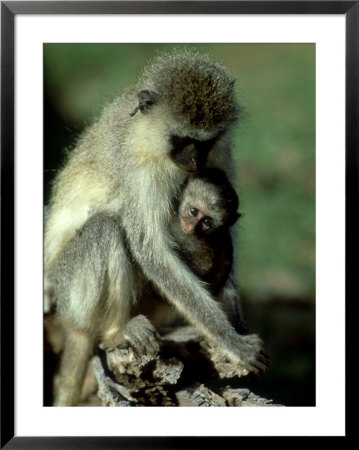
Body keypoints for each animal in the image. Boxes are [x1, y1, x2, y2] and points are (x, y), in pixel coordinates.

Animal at [45, 51, 268, 406]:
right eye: (183, 139)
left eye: (206, 141)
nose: (195, 162)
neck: (148, 134)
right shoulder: (139, 168)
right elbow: (150, 248)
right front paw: (230, 341)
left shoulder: (219, 155)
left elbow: (227, 232)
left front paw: (236, 324)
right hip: (69, 291)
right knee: (106, 229)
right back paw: (115, 331)